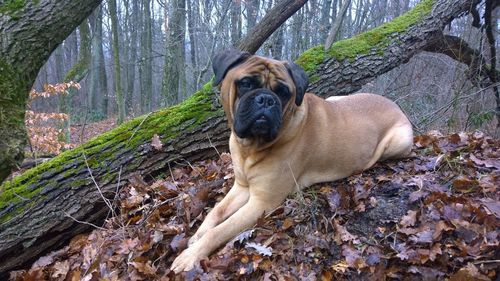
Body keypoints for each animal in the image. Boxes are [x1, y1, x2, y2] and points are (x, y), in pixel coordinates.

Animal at [170, 48, 412, 272]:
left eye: (283, 92)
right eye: (246, 83)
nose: (266, 99)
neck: (250, 148)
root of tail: (394, 104)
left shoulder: (261, 202)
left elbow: (221, 230)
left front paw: (190, 255)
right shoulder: (241, 187)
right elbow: (217, 211)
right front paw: (197, 235)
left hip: (399, 141)